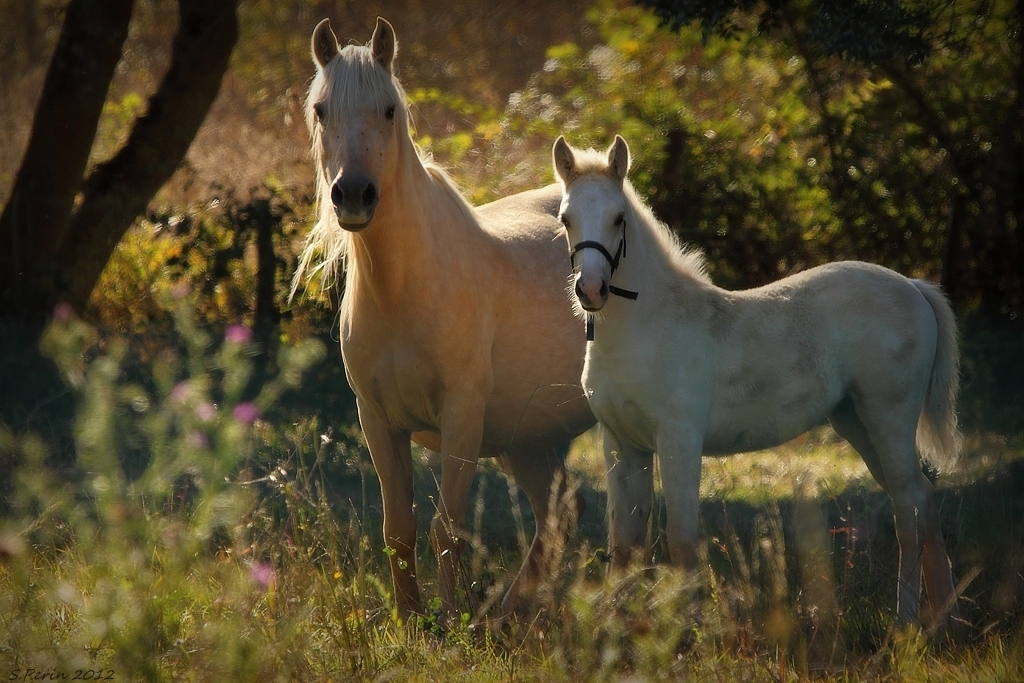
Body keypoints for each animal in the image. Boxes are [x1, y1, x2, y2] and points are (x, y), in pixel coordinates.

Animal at [290, 18, 593, 622]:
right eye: (320, 110)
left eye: (389, 109)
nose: (353, 195)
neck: (404, 293)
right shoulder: (379, 420)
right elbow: (399, 530)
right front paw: (411, 623)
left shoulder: (460, 419)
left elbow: (446, 530)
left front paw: (451, 624)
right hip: (525, 439)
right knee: (559, 515)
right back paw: (507, 616)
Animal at [552, 133, 958, 626]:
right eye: (565, 218)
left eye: (618, 218)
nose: (591, 290)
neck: (644, 328)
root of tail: (914, 287)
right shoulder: (623, 445)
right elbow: (625, 545)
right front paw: (622, 630)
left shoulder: (679, 440)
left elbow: (681, 541)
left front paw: (689, 631)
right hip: (856, 422)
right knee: (924, 498)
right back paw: (944, 616)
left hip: (889, 419)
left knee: (907, 510)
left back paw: (907, 622)